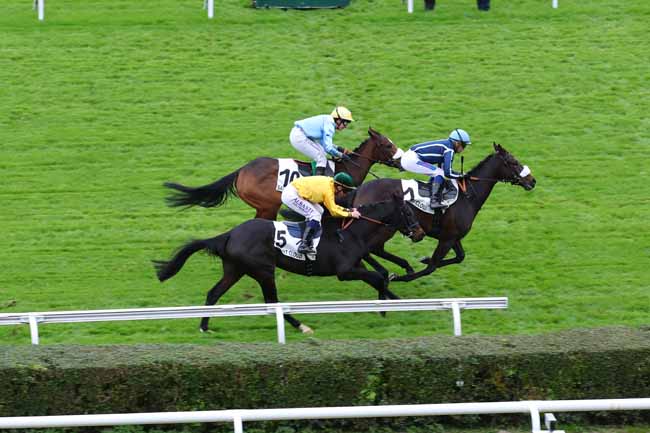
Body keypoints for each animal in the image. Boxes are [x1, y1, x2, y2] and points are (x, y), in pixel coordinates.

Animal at [153, 194, 426, 332]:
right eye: (408, 212)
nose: (420, 232)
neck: (350, 232)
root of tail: (230, 234)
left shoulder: (357, 265)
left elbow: (381, 277)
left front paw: (397, 302)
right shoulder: (345, 271)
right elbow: (379, 278)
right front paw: (383, 308)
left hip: (235, 270)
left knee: (213, 293)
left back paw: (204, 326)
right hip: (263, 270)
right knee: (272, 301)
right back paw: (301, 325)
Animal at [352, 143, 536, 282]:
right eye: (513, 162)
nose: (532, 181)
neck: (467, 196)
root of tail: (360, 189)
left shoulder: (453, 237)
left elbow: (460, 257)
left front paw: (424, 259)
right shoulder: (447, 239)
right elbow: (431, 267)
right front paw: (399, 277)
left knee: (375, 249)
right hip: (384, 228)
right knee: (370, 249)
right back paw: (387, 271)